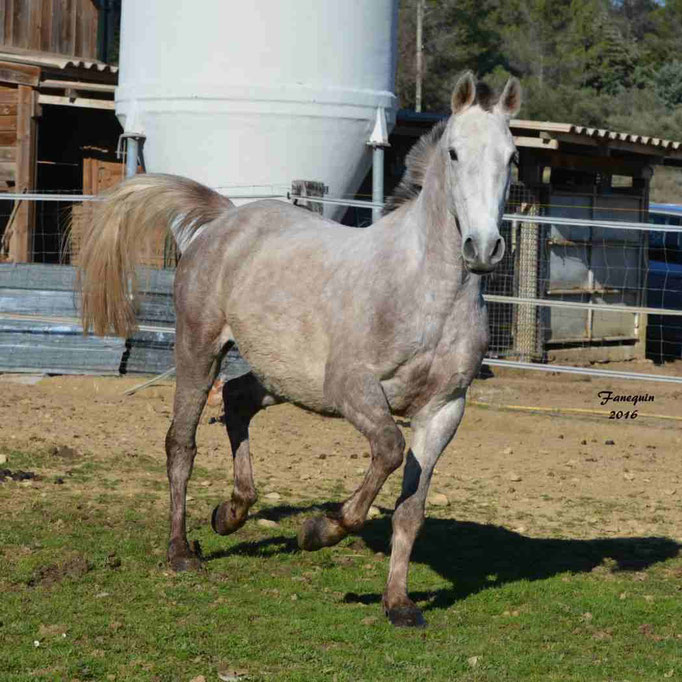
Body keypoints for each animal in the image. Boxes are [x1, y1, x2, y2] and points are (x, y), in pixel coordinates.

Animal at [77, 71, 516, 624]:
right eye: (455, 153)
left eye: (512, 157)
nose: (483, 248)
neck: (425, 292)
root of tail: (226, 218)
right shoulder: (352, 387)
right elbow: (388, 450)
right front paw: (319, 530)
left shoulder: (444, 410)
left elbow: (410, 509)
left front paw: (398, 604)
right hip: (200, 347)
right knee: (182, 440)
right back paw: (181, 552)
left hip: (282, 376)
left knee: (237, 400)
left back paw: (231, 513)